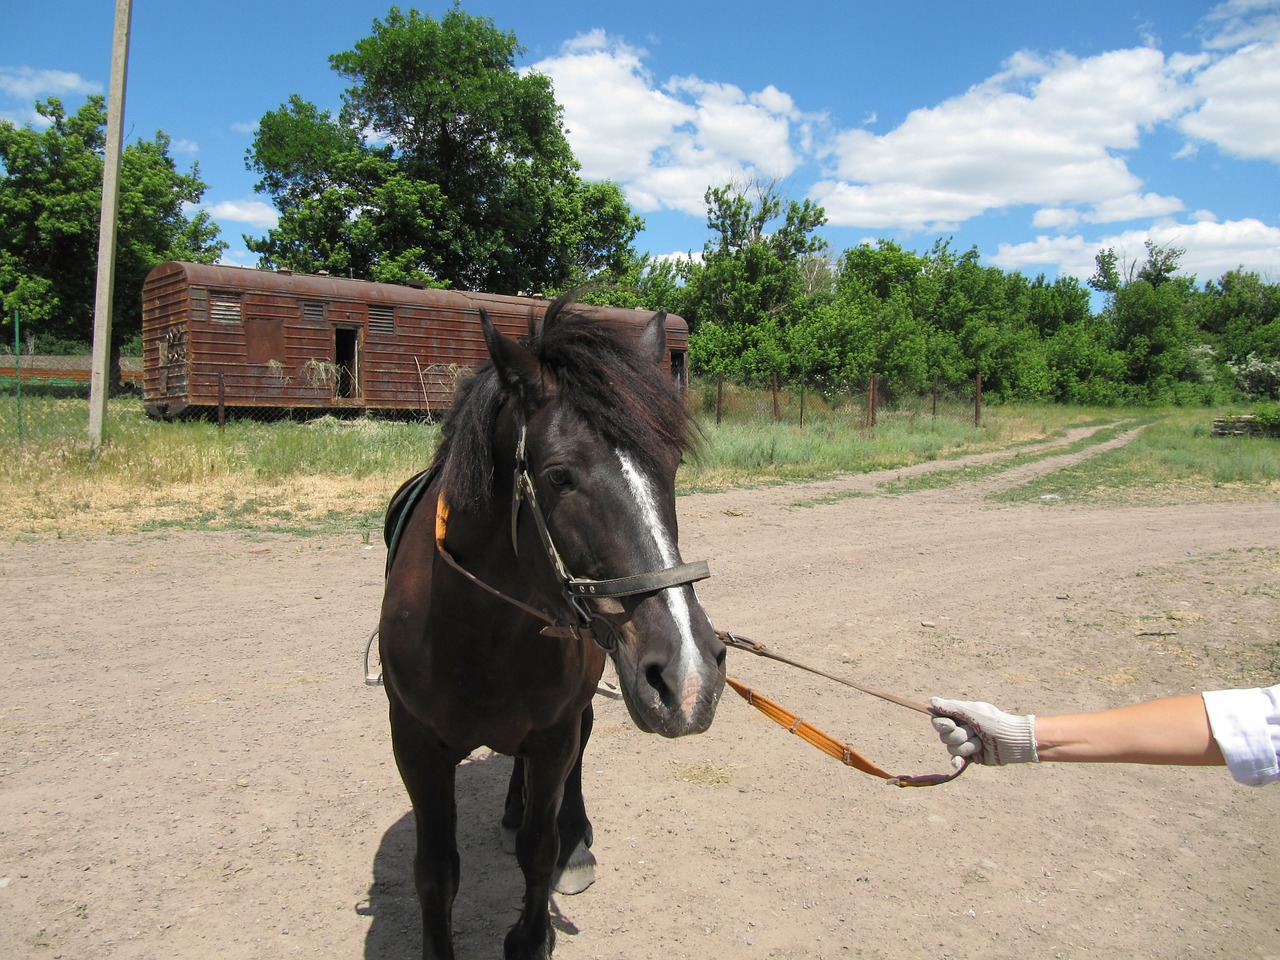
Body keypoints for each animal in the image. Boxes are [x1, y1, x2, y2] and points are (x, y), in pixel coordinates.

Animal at [373, 295, 727, 960]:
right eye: (560, 475)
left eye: (670, 467)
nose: (691, 675)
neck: (479, 634)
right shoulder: (415, 742)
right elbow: (436, 871)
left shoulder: (554, 733)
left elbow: (538, 851)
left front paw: (531, 931)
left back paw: (575, 838)